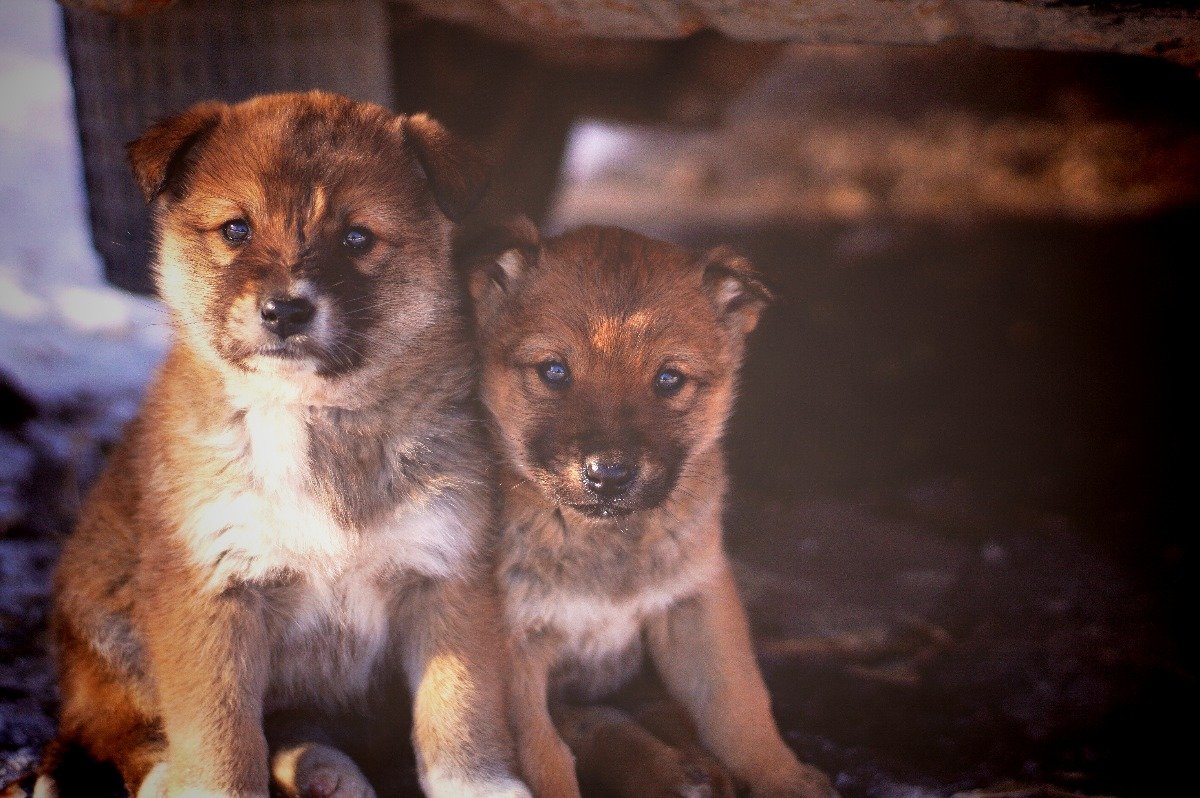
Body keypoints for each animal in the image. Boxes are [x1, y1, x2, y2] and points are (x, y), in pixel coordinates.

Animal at [39, 90, 528, 792]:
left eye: (357, 238)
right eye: (236, 230)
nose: (285, 310)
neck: (312, 416)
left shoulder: (448, 574)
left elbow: (460, 714)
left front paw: (483, 785)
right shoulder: (213, 590)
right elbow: (222, 737)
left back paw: (328, 772)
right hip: (111, 627)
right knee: (114, 729)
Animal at [463, 222, 840, 796]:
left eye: (669, 379)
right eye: (554, 371)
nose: (608, 475)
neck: (601, 539)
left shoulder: (697, 602)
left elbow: (738, 706)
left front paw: (784, 777)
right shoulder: (517, 653)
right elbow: (545, 757)